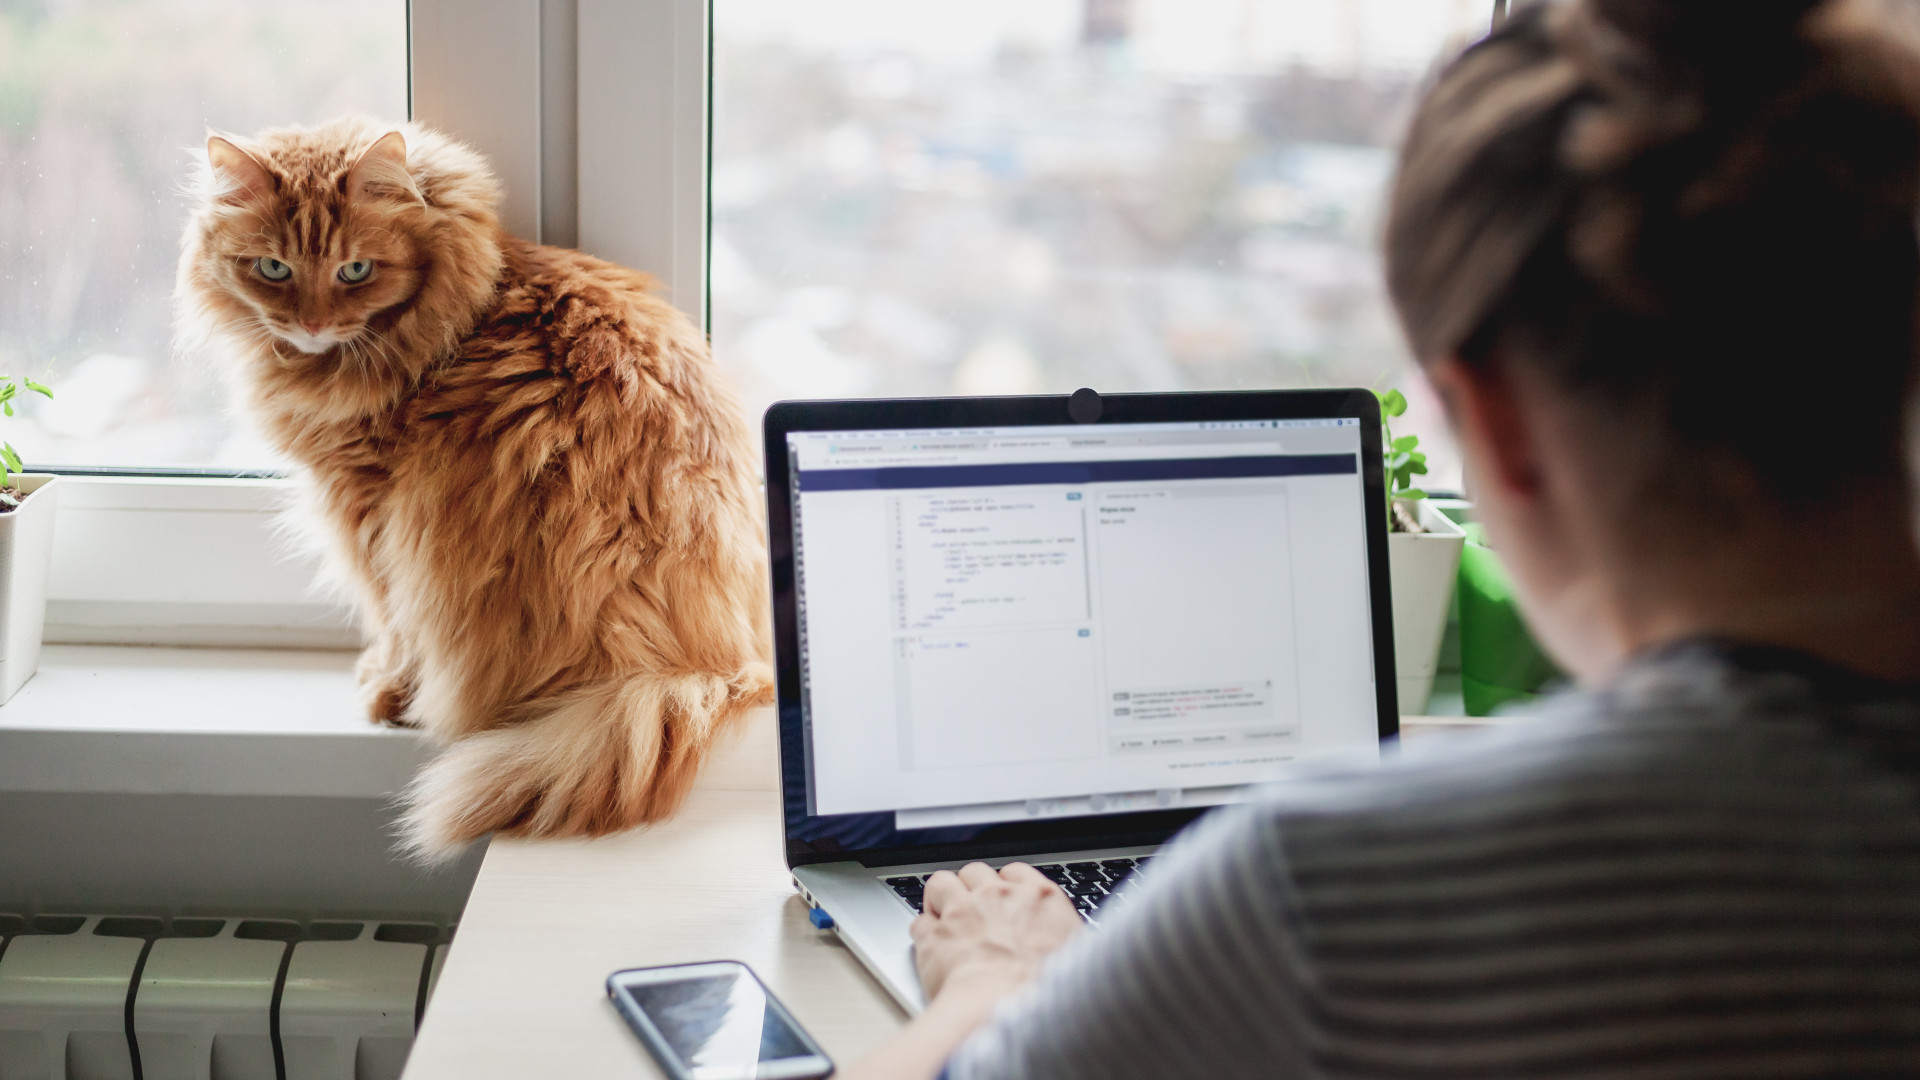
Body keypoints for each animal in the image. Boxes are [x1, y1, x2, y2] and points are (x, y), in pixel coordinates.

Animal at [176, 115, 775, 857]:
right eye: (273, 269)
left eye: (355, 270)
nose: (311, 324)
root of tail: (714, 669)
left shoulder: (369, 511)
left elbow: (390, 618)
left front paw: (386, 690)